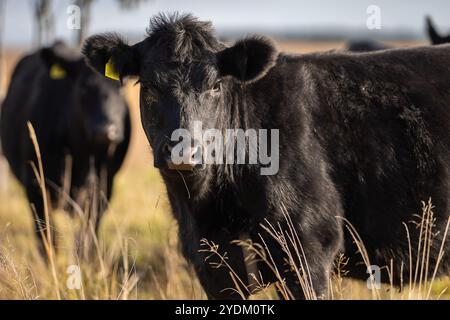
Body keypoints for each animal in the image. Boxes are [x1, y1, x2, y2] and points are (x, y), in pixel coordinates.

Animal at [0, 42, 132, 258]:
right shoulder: (35, 184)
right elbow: (46, 236)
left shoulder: (104, 185)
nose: (106, 130)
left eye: (121, 89)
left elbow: (88, 233)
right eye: (84, 87)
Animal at [82, 13, 448, 298]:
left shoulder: (308, 247)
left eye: (216, 86)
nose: (185, 150)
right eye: (149, 86)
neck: (208, 206)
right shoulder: (211, 263)